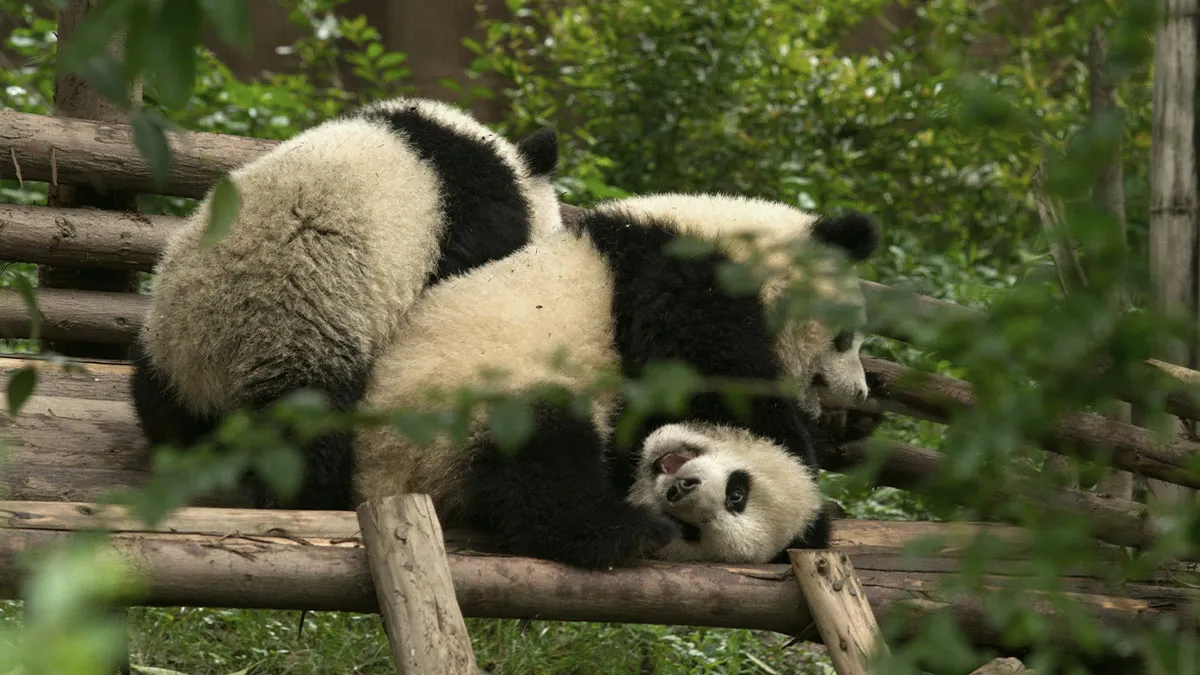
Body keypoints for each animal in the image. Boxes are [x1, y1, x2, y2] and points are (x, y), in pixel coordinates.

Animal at [130, 96, 563, 511]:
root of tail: (204, 366)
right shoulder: (475, 219)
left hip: (164, 340)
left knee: (159, 406)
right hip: (294, 332)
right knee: (309, 431)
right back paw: (307, 498)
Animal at [354, 192, 881, 569]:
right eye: (844, 338)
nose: (858, 392)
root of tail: (379, 479)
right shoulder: (679, 276)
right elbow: (706, 371)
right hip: (456, 406)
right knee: (540, 457)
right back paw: (618, 530)